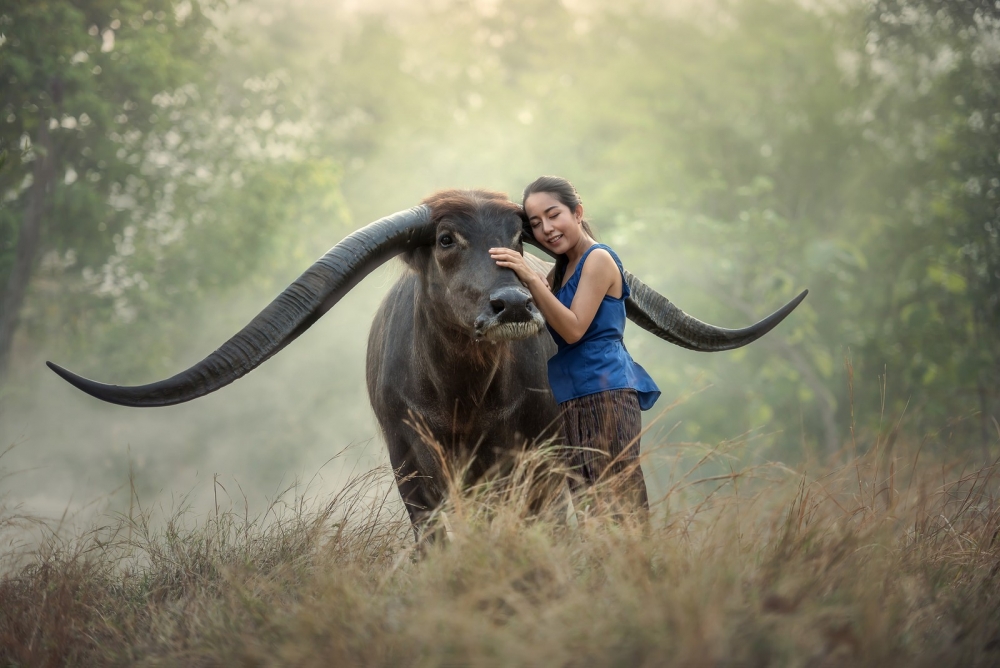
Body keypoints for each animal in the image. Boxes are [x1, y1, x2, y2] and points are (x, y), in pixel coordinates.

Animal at [47, 188, 807, 539]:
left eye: (517, 237)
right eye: (446, 237)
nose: (512, 303)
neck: (462, 394)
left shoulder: (529, 459)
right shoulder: (409, 458)